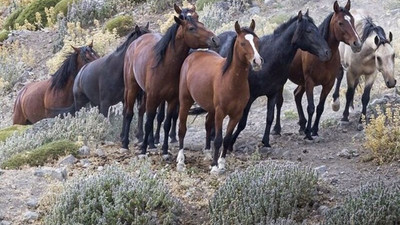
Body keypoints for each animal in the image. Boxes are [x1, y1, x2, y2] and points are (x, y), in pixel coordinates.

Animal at [123, 7, 220, 158]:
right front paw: (143, 150)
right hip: (132, 88)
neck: (165, 65)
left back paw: (150, 143)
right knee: (129, 113)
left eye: (202, 23)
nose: (215, 39)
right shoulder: (154, 96)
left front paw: (164, 150)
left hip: (145, 93)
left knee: (141, 111)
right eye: (191, 28)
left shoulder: (172, 99)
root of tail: (136, 41)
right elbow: (149, 122)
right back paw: (125, 144)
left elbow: (167, 123)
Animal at [177, 20, 262, 173]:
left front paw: (221, 164)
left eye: (257, 41)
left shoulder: (236, 115)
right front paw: (215, 167)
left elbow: (227, 139)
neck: (231, 81)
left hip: (210, 108)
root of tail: (194, 54)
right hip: (185, 101)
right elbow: (218, 139)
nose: (257, 61)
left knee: (207, 124)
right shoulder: (220, 112)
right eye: (242, 43)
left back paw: (207, 154)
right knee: (182, 129)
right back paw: (180, 161)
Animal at [214, 10, 332, 149]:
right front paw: (231, 143)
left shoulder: (272, 94)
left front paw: (266, 141)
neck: (269, 58)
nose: (327, 52)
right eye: (309, 31)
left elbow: (269, 117)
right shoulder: (250, 97)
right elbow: (242, 122)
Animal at [276, 0, 364, 141]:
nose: (357, 43)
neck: (323, 57)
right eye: (340, 23)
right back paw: (277, 129)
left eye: (352, 20)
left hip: (301, 83)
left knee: (296, 95)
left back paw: (302, 125)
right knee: (279, 102)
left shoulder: (328, 84)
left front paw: (314, 130)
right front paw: (308, 133)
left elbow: (320, 107)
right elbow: (311, 107)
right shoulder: (310, 82)